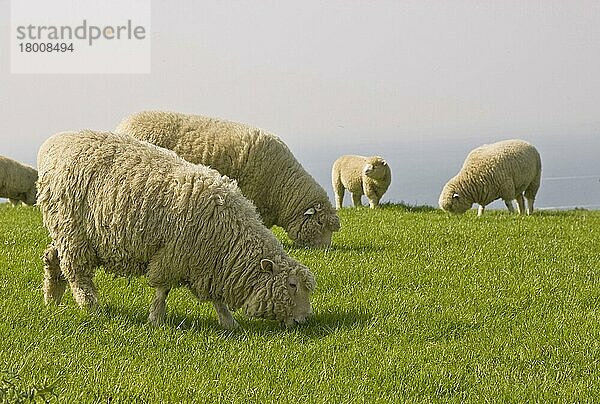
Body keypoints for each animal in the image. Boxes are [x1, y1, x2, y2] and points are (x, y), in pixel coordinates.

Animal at [36, 131, 318, 330]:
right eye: (292, 285)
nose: (304, 320)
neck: (230, 237)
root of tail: (50, 145)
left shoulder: (207, 265)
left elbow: (217, 300)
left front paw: (229, 323)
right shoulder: (173, 255)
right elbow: (163, 290)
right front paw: (156, 319)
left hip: (66, 230)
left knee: (52, 259)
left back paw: (52, 300)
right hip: (72, 230)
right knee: (76, 272)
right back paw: (90, 307)